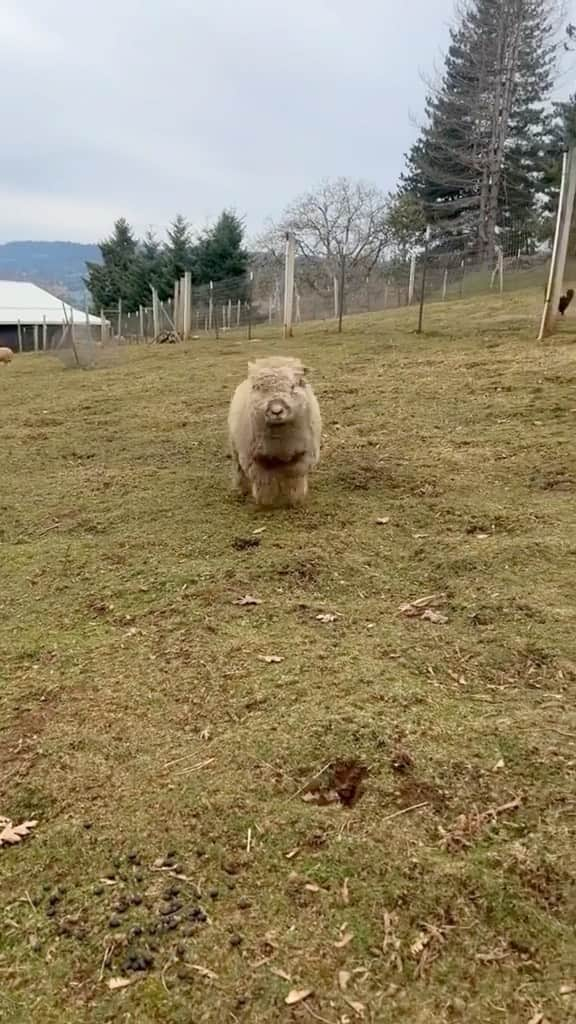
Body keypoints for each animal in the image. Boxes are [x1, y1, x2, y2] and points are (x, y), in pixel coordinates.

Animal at [226, 356, 319, 507]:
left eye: (293, 386)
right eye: (258, 387)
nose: (276, 411)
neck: (280, 445)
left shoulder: (302, 457)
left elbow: (293, 479)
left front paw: (294, 500)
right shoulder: (255, 460)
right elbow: (265, 483)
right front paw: (266, 503)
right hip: (235, 448)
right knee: (239, 470)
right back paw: (242, 490)